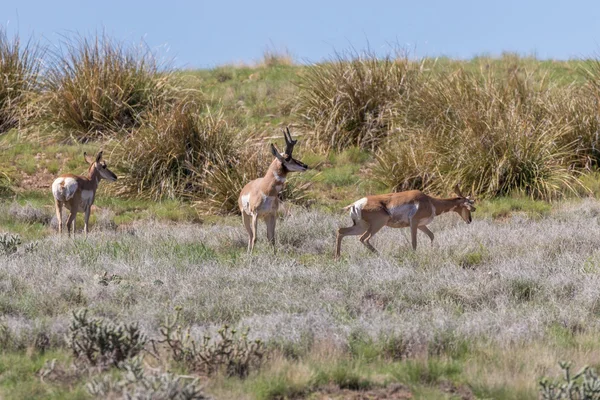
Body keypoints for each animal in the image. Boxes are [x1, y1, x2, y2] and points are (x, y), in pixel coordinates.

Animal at [336, 185, 476, 260]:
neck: (430, 201)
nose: (470, 220)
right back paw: (381, 255)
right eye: (468, 206)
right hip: (377, 225)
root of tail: (356, 204)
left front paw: (432, 251)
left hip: (360, 226)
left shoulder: (421, 225)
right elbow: (414, 242)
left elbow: (432, 235)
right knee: (363, 238)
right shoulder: (414, 223)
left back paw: (337, 257)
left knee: (341, 231)